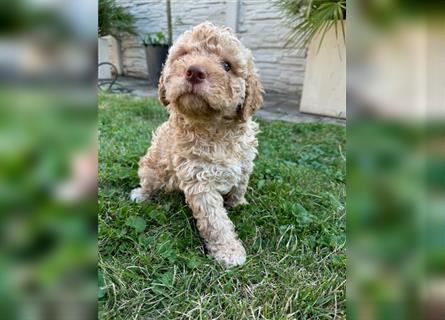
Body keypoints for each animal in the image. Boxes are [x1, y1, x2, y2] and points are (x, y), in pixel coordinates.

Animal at [130, 21, 262, 268]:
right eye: (183, 55)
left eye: (227, 66)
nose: (194, 71)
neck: (216, 130)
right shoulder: (200, 180)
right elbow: (216, 222)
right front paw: (229, 251)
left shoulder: (245, 163)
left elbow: (240, 185)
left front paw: (238, 203)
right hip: (151, 169)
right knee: (148, 182)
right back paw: (141, 194)